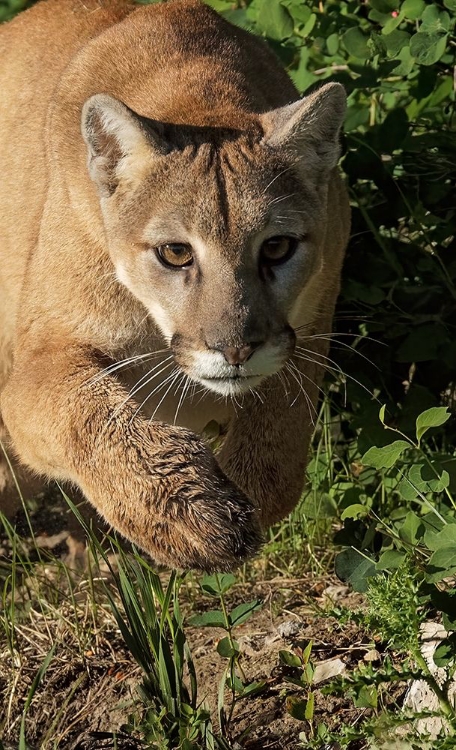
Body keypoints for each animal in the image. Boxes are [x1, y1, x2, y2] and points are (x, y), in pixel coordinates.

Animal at [0, 0, 350, 568]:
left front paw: (247, 491)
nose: (235, 350)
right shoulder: (37, 364)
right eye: (175, 253)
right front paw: (189, 516)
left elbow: (282, 422)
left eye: (277, 247)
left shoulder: (313, 316)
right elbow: (86, 415)